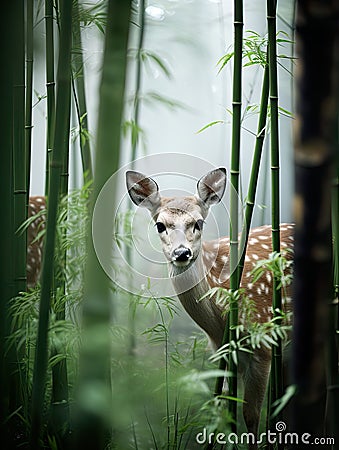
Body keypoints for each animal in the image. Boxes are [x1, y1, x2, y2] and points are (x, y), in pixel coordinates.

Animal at [126, 168, 294, 442]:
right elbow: (224, 411)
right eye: (160, 225)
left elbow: (252, 416)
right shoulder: (222, 353)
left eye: (199, 222)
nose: (182, 253)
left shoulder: (264, 342)